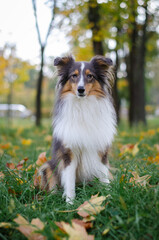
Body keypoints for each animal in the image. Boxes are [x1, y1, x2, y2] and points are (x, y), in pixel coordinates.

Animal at [39, 55, 117, 203]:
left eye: (90, 76)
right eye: (73, 76)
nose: (81, 89)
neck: (83, 106)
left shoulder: (101, 151)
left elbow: (104, 178)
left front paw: (109, 196)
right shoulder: (69, 153)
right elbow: (69, 181)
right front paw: (70, 203)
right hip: (47, 167)